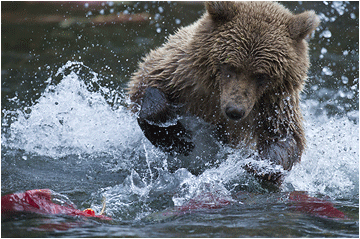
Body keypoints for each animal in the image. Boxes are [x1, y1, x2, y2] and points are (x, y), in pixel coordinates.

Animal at [128, 0, 320, 183]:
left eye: (261, 75)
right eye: (230, 66)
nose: (234, 110)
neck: (216, 91)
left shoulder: (273, 104)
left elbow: (285, 136)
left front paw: (261, 166)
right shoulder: (181, 75)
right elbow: (144, 87)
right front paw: (176, 138)